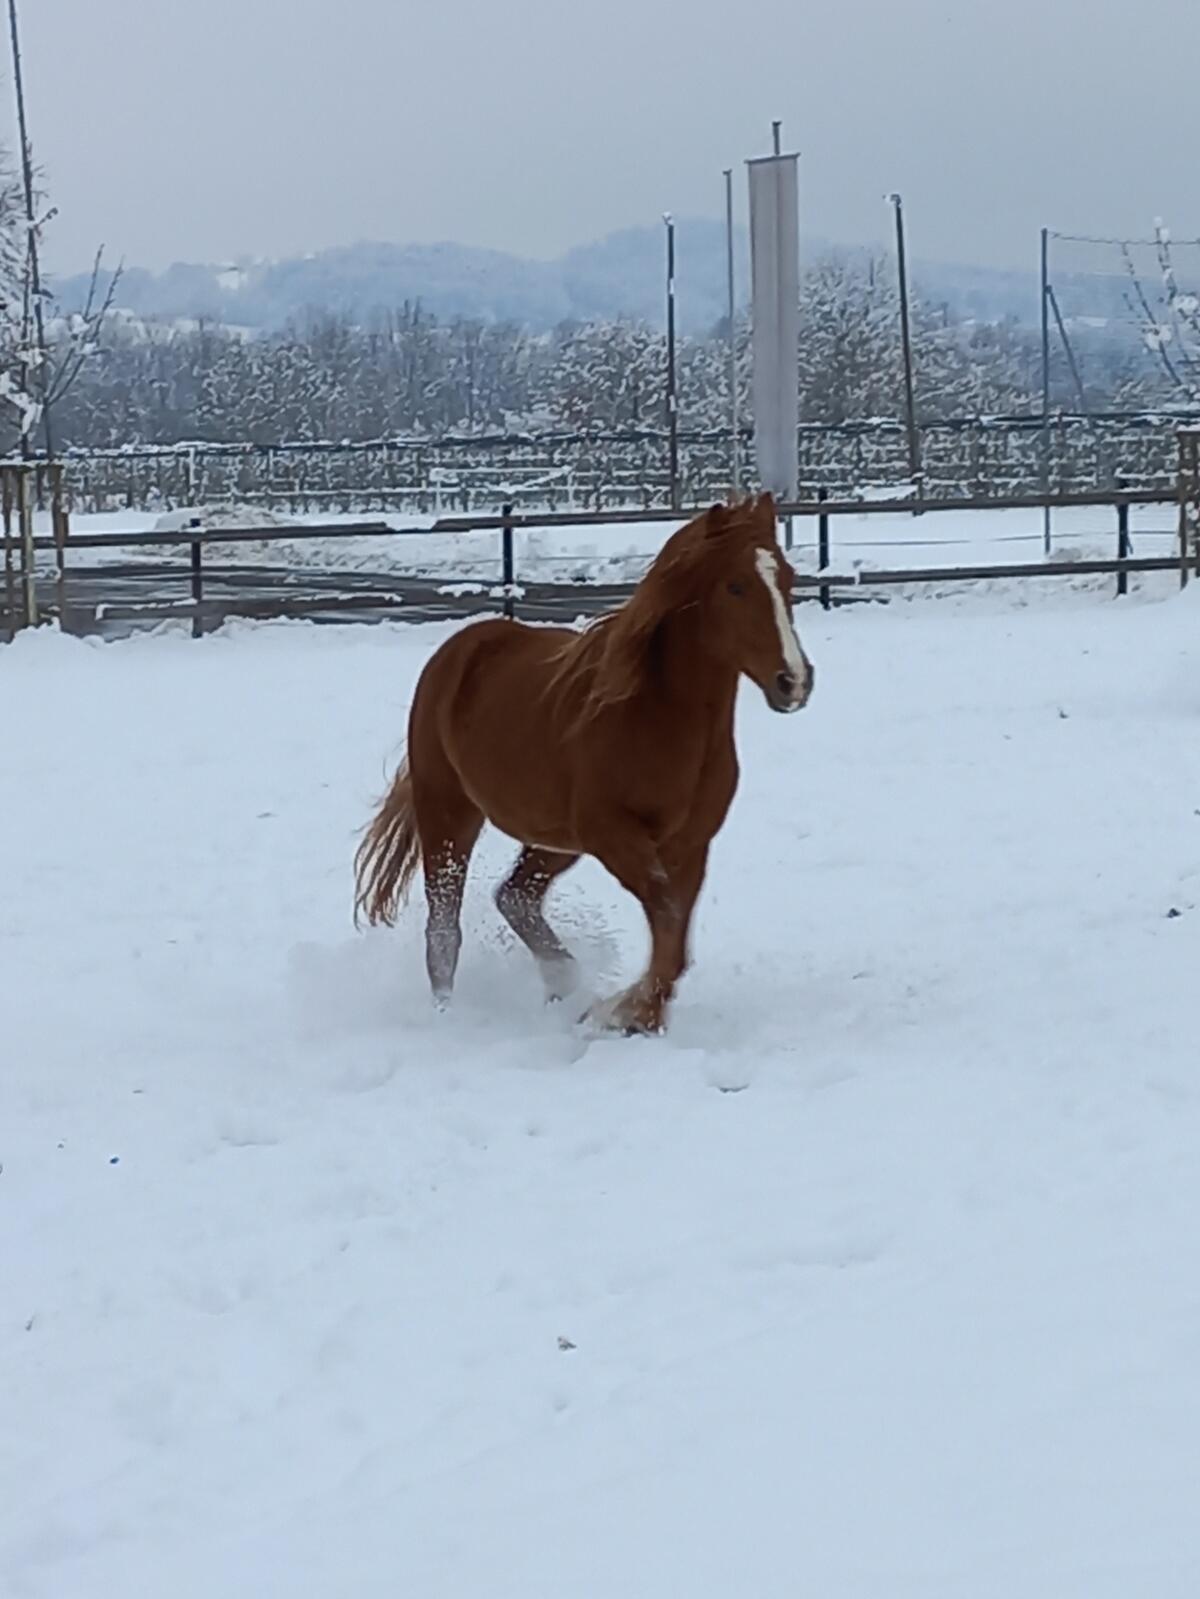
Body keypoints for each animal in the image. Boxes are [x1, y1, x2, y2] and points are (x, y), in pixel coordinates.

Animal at [353, 491, 815, 1035]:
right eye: (735, 586)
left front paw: (639, 1016)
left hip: (555, 840)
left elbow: (675, 936)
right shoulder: (615, 837)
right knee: (444, 928)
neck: (659, 720)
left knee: (515, 896)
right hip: (450, 813)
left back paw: (564, 984)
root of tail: (459, 649)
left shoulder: (689, 845)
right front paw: (622, 1011)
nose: (794, 681)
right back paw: (452, 1013)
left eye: (788, 577)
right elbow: (667, 922)